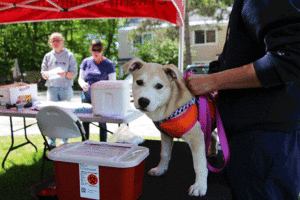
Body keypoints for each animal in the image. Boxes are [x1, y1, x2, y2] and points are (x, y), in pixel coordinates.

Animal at [123, 57, 212, 196]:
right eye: (139, 82)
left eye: (159, 86)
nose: (143, 101)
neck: (170, 106)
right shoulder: (165, 135)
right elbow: (164, 154)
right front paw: (160, 169)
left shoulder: (196, 136)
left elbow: (199, 163)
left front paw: (200, 186)